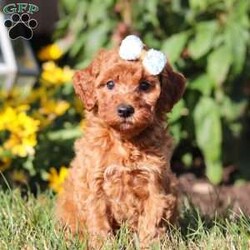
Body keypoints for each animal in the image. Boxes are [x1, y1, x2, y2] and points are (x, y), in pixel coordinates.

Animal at [56, 35, 186, 248]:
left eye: (144, 85)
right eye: (110, 84)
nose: (125, 110)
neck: (124, 142)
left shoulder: (155, 185)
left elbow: (152, 224)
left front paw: (150, 245)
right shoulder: (95, 185)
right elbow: (98, 222)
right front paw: (103, 245)